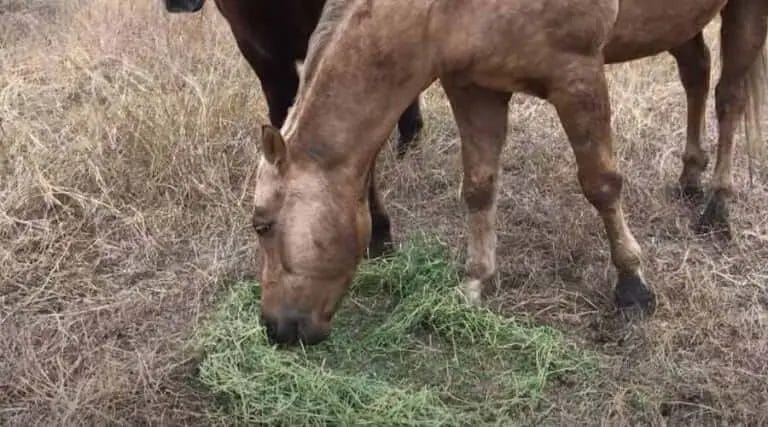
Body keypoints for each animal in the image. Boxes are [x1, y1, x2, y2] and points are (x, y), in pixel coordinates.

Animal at [250, 0, 767, 346]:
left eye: (262, 225)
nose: (276, 329)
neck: (436, 10)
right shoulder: (474, 87)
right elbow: (479, 187)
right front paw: (477, 283)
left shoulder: (577, 76)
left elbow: (600, 184)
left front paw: (632, 285)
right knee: (696, 72)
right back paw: (690, 177)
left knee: (730, 97)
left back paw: (717, 205)